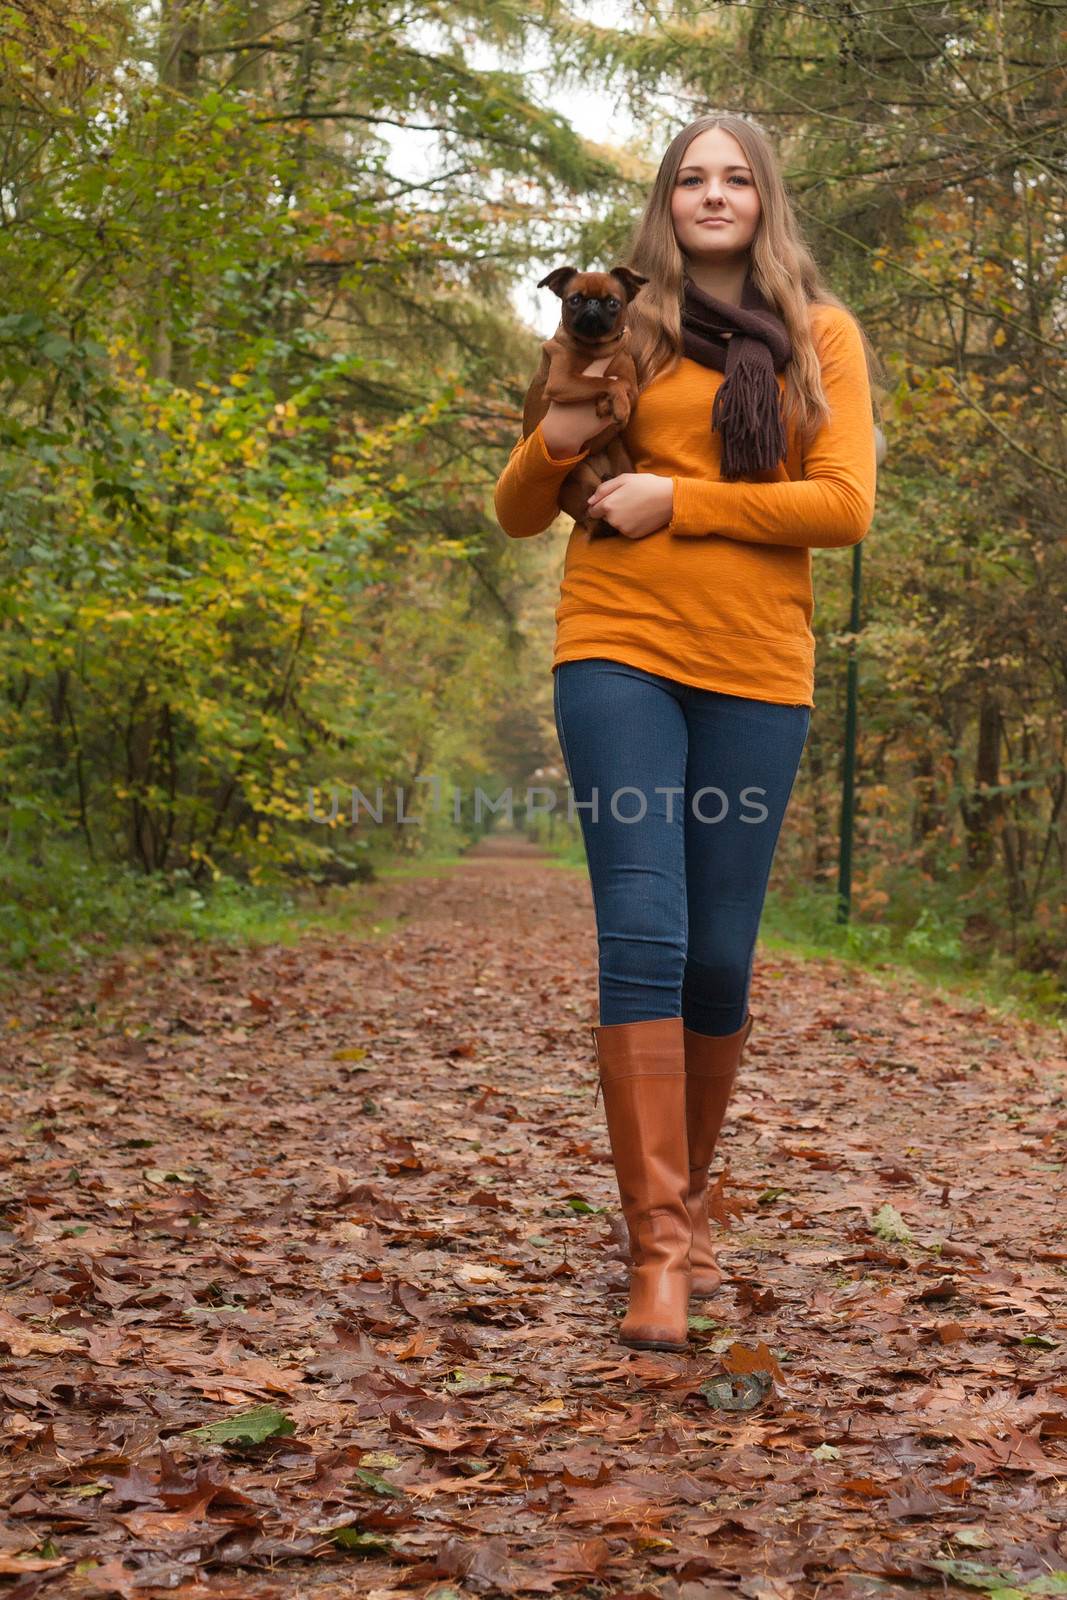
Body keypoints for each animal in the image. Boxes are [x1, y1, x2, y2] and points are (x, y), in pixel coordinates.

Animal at [521, 262, 646, 537]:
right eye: (575, 300)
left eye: (613, 302)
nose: (593, 304)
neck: (594, 349)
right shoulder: (561, 381)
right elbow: (603, 382)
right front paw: (611, 403)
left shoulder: (632, 386)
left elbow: (618, 383)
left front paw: (611, 404)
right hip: (580, 472)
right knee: (593, 509)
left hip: (619, 453)